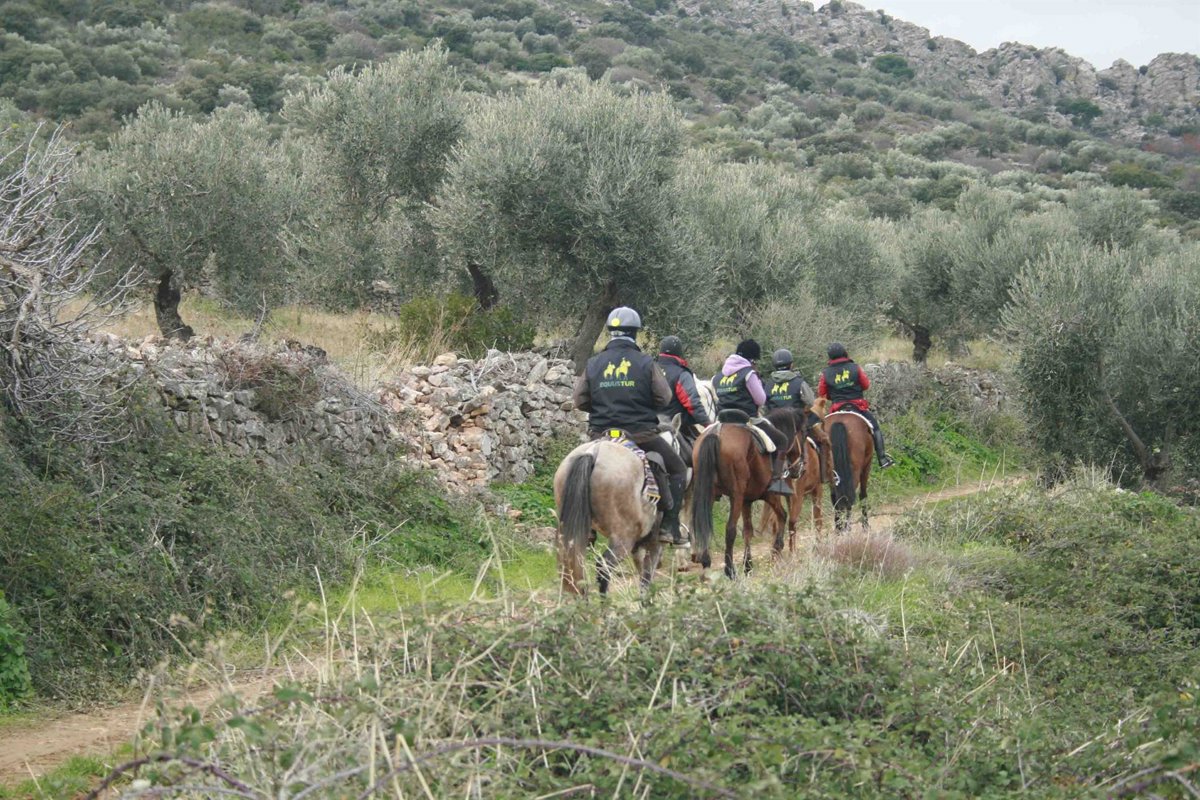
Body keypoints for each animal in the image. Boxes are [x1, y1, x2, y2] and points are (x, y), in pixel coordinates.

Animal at [554, 438, 665, 596]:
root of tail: (593, 451)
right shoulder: (654, 543)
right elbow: (646, 577)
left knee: (575, 567)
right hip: (623, 538)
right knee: (603, 566)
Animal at [690, 415, 788, 579]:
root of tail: (716, 433)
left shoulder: (746, 501)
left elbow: (748, 531)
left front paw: (748, 565)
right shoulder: (769, 494)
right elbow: (782, 515)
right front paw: (777, 548)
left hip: (709, 493)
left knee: (703, 525)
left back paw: (706, 562)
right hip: (737, 495)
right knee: (730, 529)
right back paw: (730, 570)